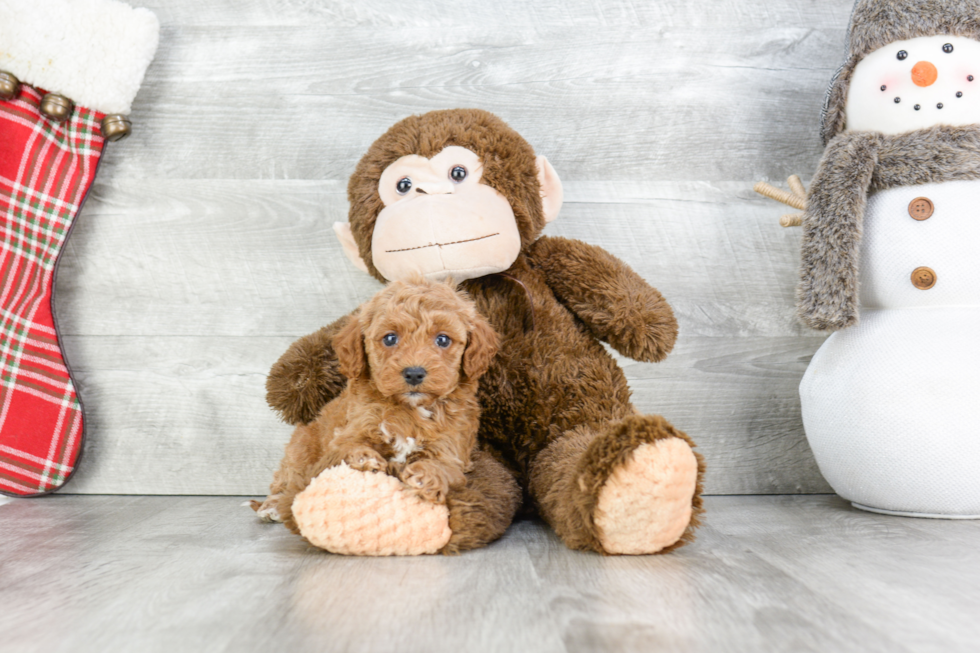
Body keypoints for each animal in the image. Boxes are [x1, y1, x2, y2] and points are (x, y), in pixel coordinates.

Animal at [253, 276, 498, 528]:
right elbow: (345, 448)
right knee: (287, 478)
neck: (409, 410)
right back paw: (271, 505)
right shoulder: (345, 435)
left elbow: (445, 467)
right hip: (300, 451)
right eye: (390, 338)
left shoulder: (452, 450)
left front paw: (425, 477)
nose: (414, 373)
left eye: (443, 339)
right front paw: (364, 457)